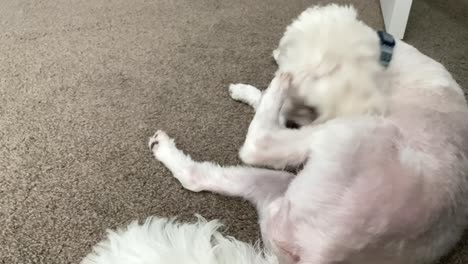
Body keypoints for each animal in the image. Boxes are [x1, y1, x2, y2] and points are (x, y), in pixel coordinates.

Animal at [81, 4, 468, 264]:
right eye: (304, 108)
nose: (296, 113)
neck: (383, 59)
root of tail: (321, 255)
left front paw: (271, 87)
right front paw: (250, 92)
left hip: (347, 140)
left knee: (257, 146)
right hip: (276, 191)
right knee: (201, 176)